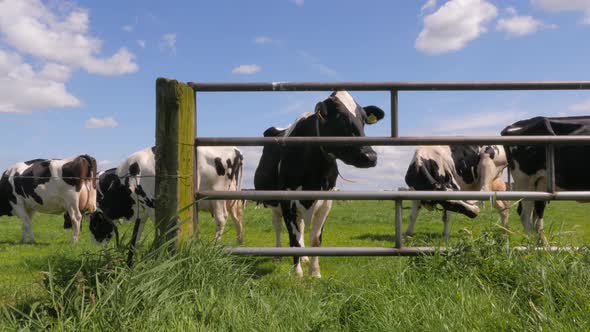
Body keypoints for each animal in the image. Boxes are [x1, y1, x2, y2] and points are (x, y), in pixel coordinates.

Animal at [85, 147, 245, 245]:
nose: (94, 242)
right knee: (237, 219)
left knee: (221, 219)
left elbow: (159, 227)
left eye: (94, 224)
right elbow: (137, 233)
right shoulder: (142, 210)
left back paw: (214, 244)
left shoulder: (152, 205)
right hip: (233, 198)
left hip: (217, 195)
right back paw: (239, 243)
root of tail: (236, 150)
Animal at [253, 91, 384, 278]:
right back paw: (278, 255)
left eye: (364, 119)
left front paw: (314, 272)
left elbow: (315, 239)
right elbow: (292, 236)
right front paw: (297, 273)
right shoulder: (287, 200)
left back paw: (304, 257)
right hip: (273, 203)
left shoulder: (326, 201)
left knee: (300, 227)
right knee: (278, 227)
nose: (370, 156)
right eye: (339, 116)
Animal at [502, 115, 590, 243]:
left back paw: (543, 244)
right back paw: (533, 244)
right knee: (525, 214)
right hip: (526, 181)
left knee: (536, 216)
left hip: (540, 184)